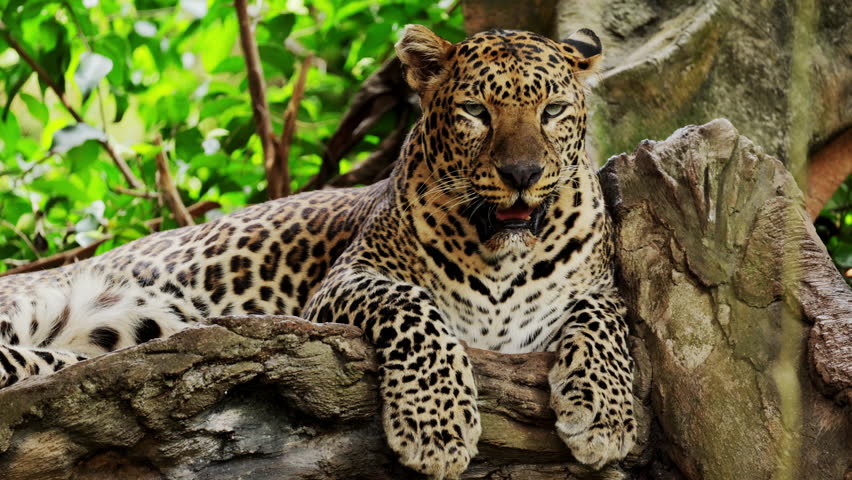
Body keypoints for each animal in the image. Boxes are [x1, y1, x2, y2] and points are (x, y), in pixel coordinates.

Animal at [0, 25, 636, 479]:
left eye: (553, 111)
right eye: (476, 112)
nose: (522, 175)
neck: (502, 253)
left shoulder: (596, 290)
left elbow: (608, 318)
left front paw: (604, 417)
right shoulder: (344, 282)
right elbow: (414, 307)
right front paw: (436, 426)